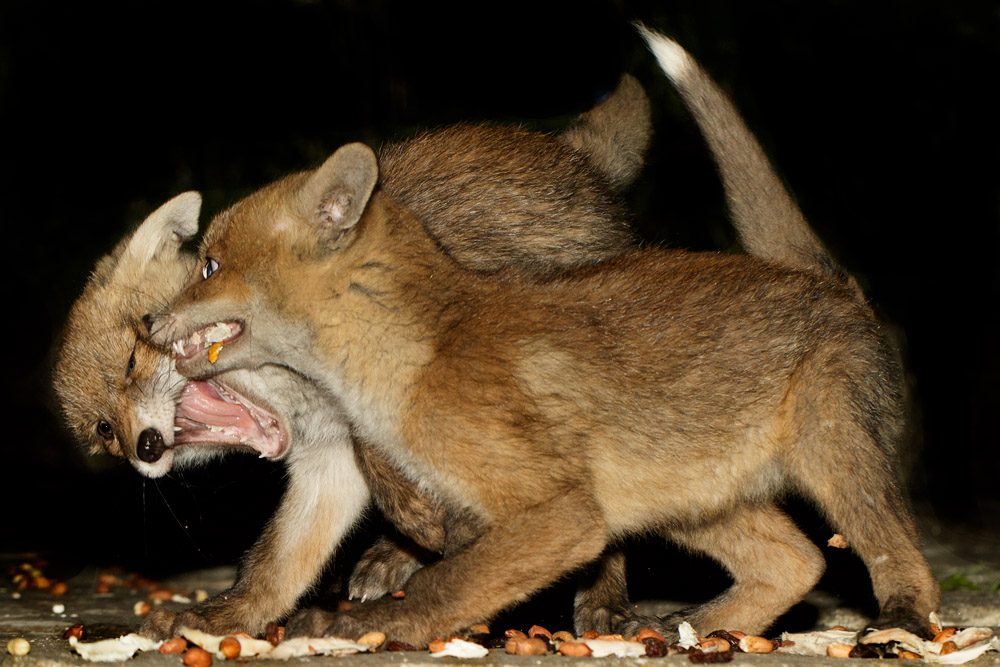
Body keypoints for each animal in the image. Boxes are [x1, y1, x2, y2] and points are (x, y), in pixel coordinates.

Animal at [52, 75, 657, 638]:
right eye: (104, 432)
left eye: (133, 357)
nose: (146, 448)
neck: (308, 393)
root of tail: (571, 155)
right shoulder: (325, 460)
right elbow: (276, 568)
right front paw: (222, 617)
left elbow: (389, 459)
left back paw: (600, 598)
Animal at [150, 26, 940, 648]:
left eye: (210, 264)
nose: (148, 322)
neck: (406, 358)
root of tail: (823, 277)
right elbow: (298, 556)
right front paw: (236, 617)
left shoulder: (561, 513)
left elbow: (448, 582)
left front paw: (361, 625)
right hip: (677, 494)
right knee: (796, 561)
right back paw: (691, 627)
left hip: (829, 449)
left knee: (897, 556)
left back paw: (897, 621)